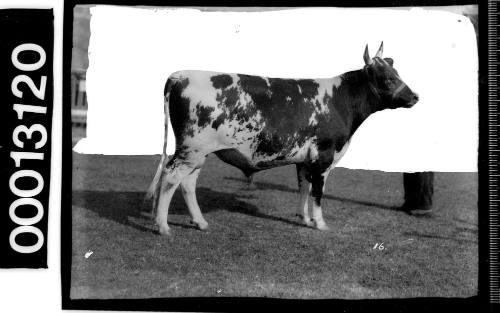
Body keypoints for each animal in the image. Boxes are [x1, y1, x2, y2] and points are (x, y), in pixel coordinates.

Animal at [147, 42, 418, 235]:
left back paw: (200, 222)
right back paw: (163, 226)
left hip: (198, 153)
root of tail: (181, 74)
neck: (340, 100)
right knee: (170, 177)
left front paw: (304, 219)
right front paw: (320, 223)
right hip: (190, 149)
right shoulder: (324, 156)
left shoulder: (305, 159)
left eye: (396, 72)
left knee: (187, 183)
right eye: (388, 78)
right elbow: (318, 192)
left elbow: (304, 187)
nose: (415, 96)